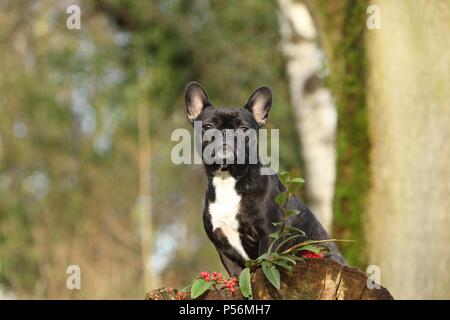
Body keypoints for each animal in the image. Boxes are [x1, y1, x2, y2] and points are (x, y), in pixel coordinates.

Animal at [185, 81, 346, 276]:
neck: (228, 179)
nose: (226, 134)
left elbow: (263, 265)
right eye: (207, 127)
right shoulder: (223, 247)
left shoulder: (268, 234)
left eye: (244, 129)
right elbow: (236, 276)